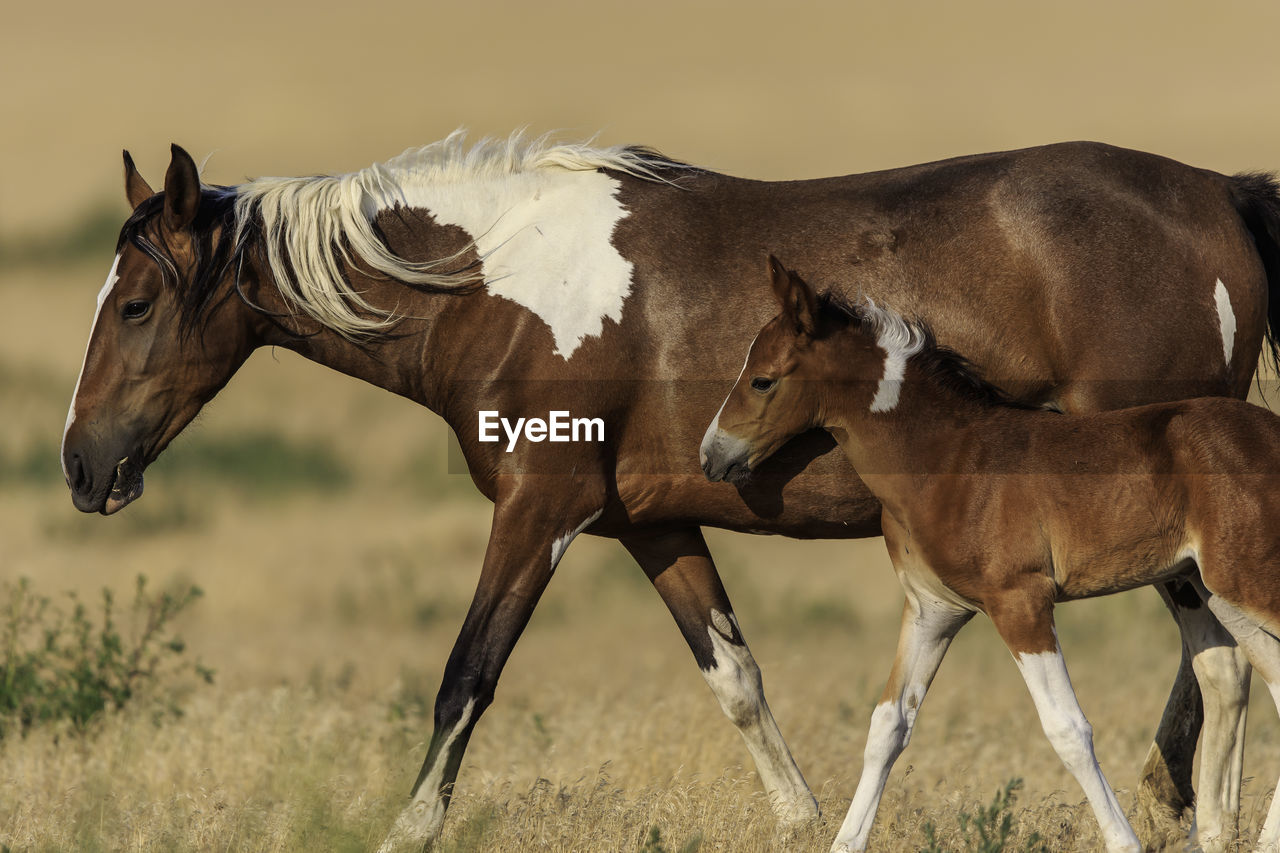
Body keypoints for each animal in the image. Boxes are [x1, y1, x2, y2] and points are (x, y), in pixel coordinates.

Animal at [701, 258, 1280, 850]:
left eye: (762, 379)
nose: (711, 455)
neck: (947, 459)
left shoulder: (1020, 602)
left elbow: (1066, 728)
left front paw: (1123, 841)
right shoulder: (933, 610)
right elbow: (888, 725)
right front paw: (846, 841)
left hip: (1249, 584)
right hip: (1225, 594)